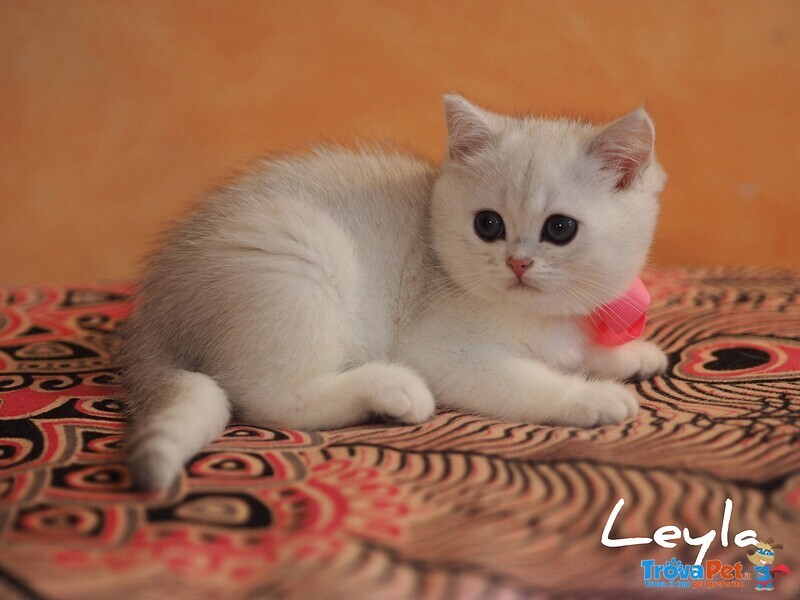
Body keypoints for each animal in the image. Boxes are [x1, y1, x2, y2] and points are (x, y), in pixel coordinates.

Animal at [119, 92, 668, 488]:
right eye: (488, 224)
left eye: (559, 229)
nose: (517, 262)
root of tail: (153, 308)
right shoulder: (447, 353)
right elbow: (530, 382)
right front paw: (594, 397)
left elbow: (582, 352)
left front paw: (631, 354)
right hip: (294, 262)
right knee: (269, 397)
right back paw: (391, 389)